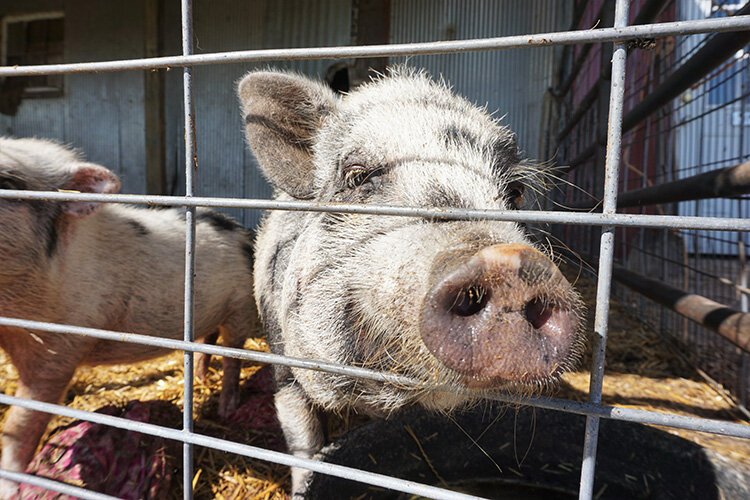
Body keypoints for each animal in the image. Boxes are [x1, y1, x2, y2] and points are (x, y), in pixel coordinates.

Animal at [0, 137, 257, 497]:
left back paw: (226, 406)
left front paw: (9, 487)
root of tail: (244, 233)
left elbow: (23, 421)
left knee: (232, 355)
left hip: (240, 307)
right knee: (208, 341)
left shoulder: (59, 350)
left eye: (7, 182)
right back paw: (202, 378)